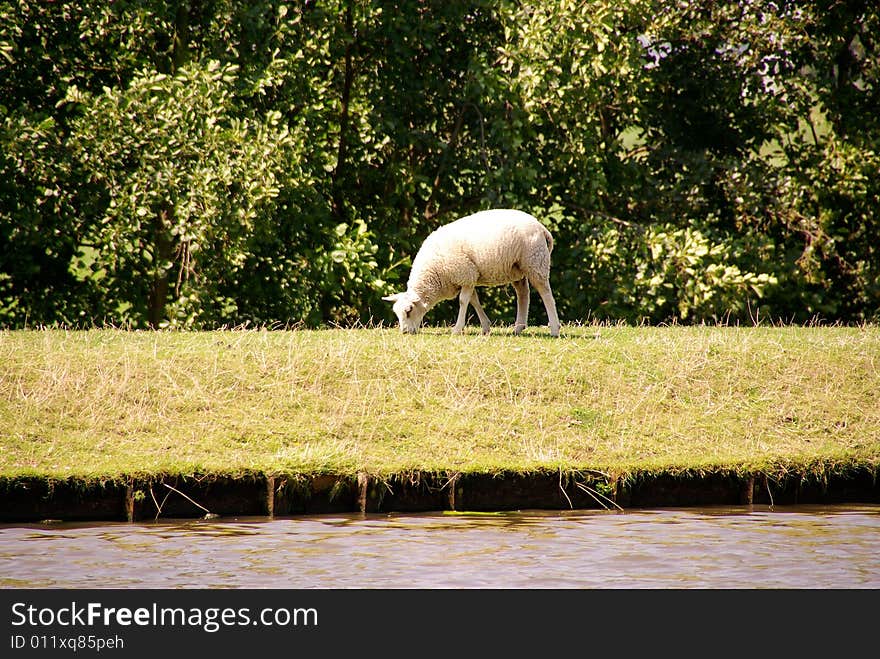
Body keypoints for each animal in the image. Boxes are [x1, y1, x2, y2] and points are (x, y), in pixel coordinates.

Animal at [382, 210, 560, 336]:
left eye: (409, 311)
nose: (405, 332)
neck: (434, 273)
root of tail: (542, 228)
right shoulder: (469, 276)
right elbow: (474, 300)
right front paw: (486, 327)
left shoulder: (465, 274)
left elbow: (463, 301)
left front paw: (457, 329)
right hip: (516, 268)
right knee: (523, 294)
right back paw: (518, 328)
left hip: (535, 262)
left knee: (546, 294)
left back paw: (554, 329)